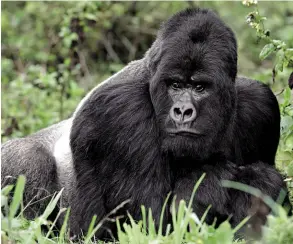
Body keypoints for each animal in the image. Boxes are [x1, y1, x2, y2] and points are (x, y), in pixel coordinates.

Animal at [1, 7, 284, 238]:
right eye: (175, 85)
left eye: (200, 87)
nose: (183, 111)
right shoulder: (121, 111)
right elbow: (149, 223)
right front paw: (210, 179)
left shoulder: (261, 106)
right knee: (29, 158)